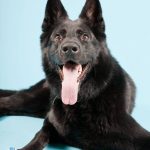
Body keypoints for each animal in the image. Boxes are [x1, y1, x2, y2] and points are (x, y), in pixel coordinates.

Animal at [0, 0, 150, 150]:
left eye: (85, 36)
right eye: (58, 36)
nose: (69, 48)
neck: (82, 101)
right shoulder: (50, 124)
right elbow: (39, 136)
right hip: (31, 100)